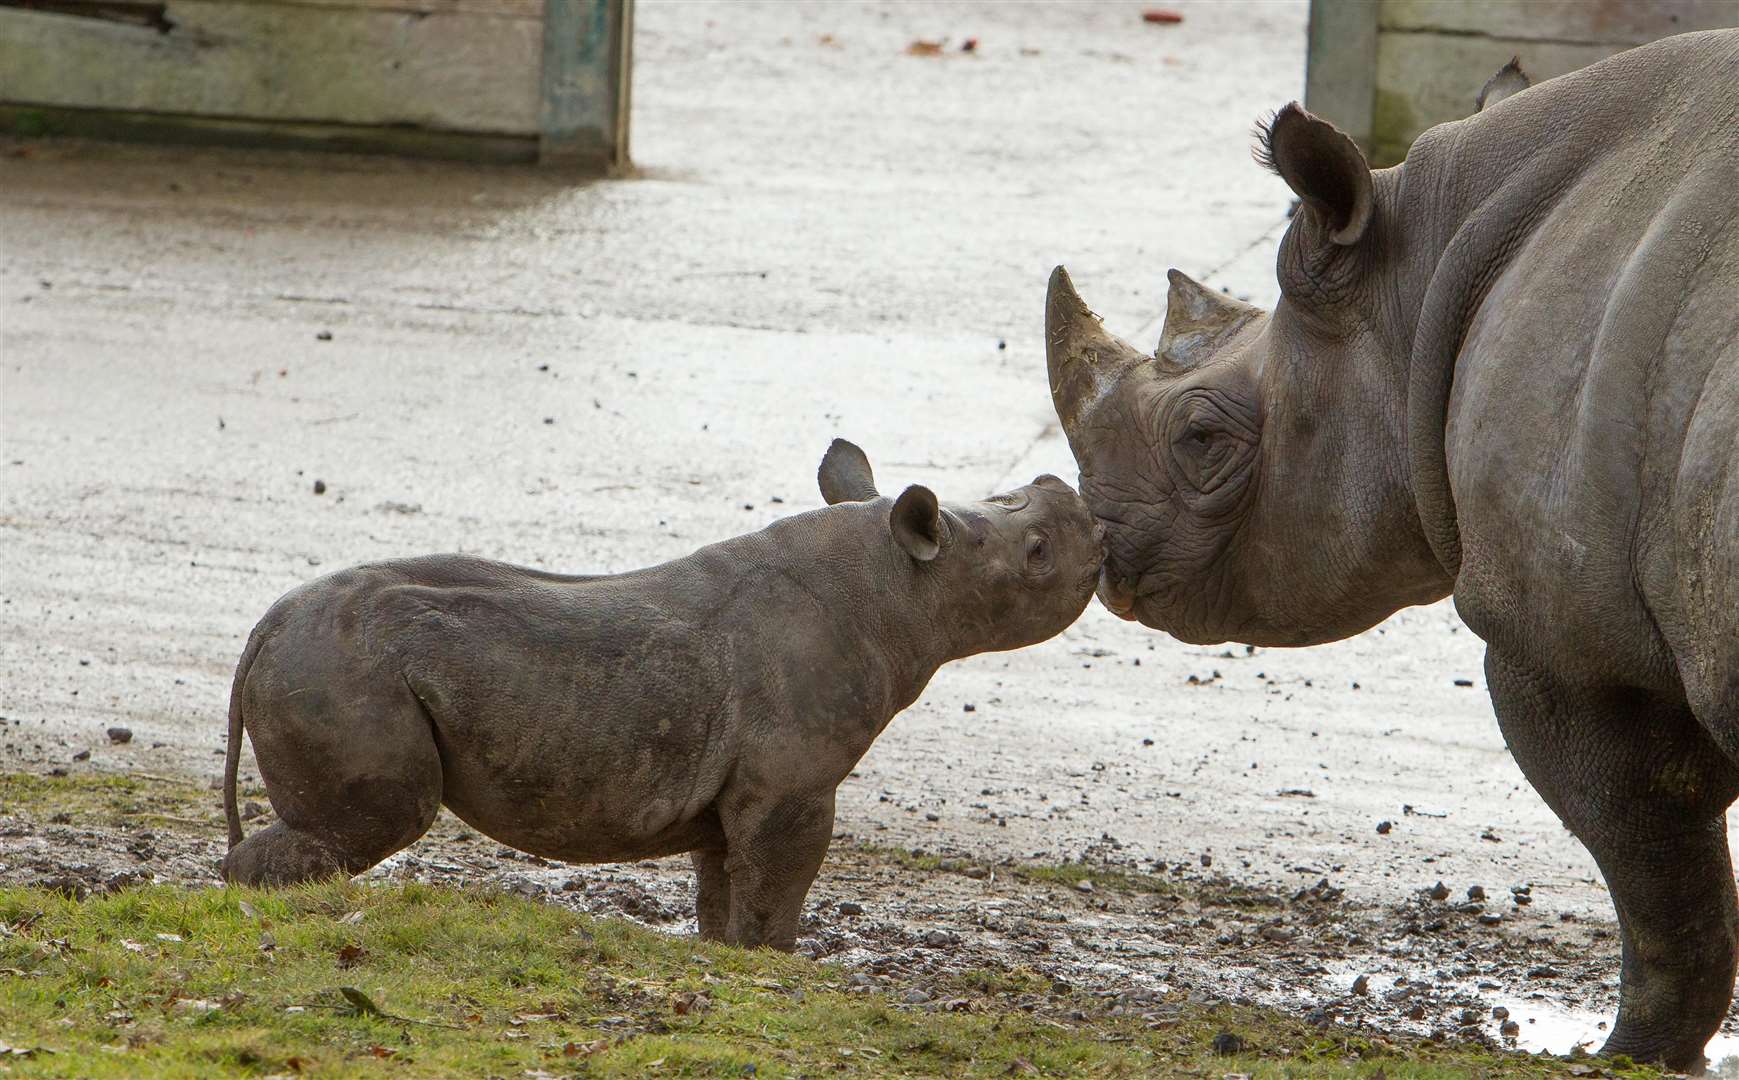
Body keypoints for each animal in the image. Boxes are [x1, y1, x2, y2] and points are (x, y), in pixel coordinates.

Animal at [220, 438, 1099, 946]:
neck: (900, 584)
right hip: (342, 667)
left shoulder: (738, 789)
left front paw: (724, 954)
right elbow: (780, 884)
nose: (1082, 509)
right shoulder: (791, 787)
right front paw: (774, 963)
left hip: (327, 659)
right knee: (377, 818)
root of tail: (264, 627)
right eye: (1038, 551)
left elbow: (726, 886)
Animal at [1043, 29, 1739, 1064]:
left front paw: (1626, 1056)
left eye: (1200, 438)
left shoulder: (1573, 647)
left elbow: (1658, 872)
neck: (1420, 274)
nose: (1105, 551)